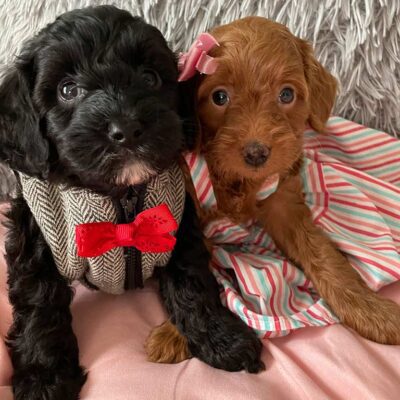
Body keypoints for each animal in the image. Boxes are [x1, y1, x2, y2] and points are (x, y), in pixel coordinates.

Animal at [0, 6, 262, 400]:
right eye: (67, 90)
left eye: (151, 78)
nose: (126, 128)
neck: (119, 196)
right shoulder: (34, 236)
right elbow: (39, 305)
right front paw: (44, 379)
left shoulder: (176, 224)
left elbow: (194, 283)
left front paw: (222, 338)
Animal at [188, 17, 400, 346]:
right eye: (219, 97)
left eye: (286, 95)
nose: (256, 153)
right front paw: (176, 335)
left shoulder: (284, 202)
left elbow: (325, 256)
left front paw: (372, 311)